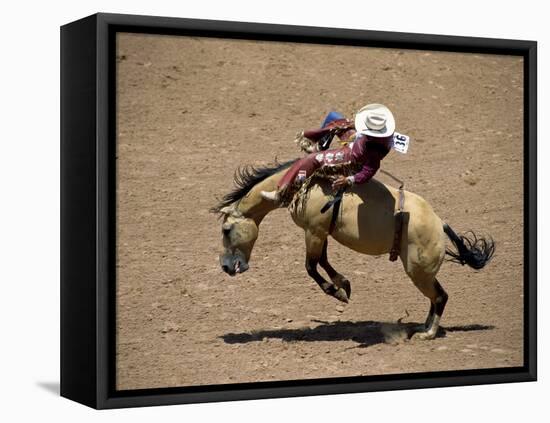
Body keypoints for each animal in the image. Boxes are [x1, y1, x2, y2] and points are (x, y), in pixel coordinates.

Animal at [211, 160, 496, 342]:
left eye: (226, 229)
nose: (225, 267)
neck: (306, 185)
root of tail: (441, 224)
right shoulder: (321, 232)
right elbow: (323, 261)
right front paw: (343, 284)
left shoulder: (314, 231)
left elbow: (311, 266)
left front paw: (337, 292)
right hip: (423, 273)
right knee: (437, 297)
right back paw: (422, 326)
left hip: (419, 272)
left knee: (440, 297)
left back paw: (428, 334)